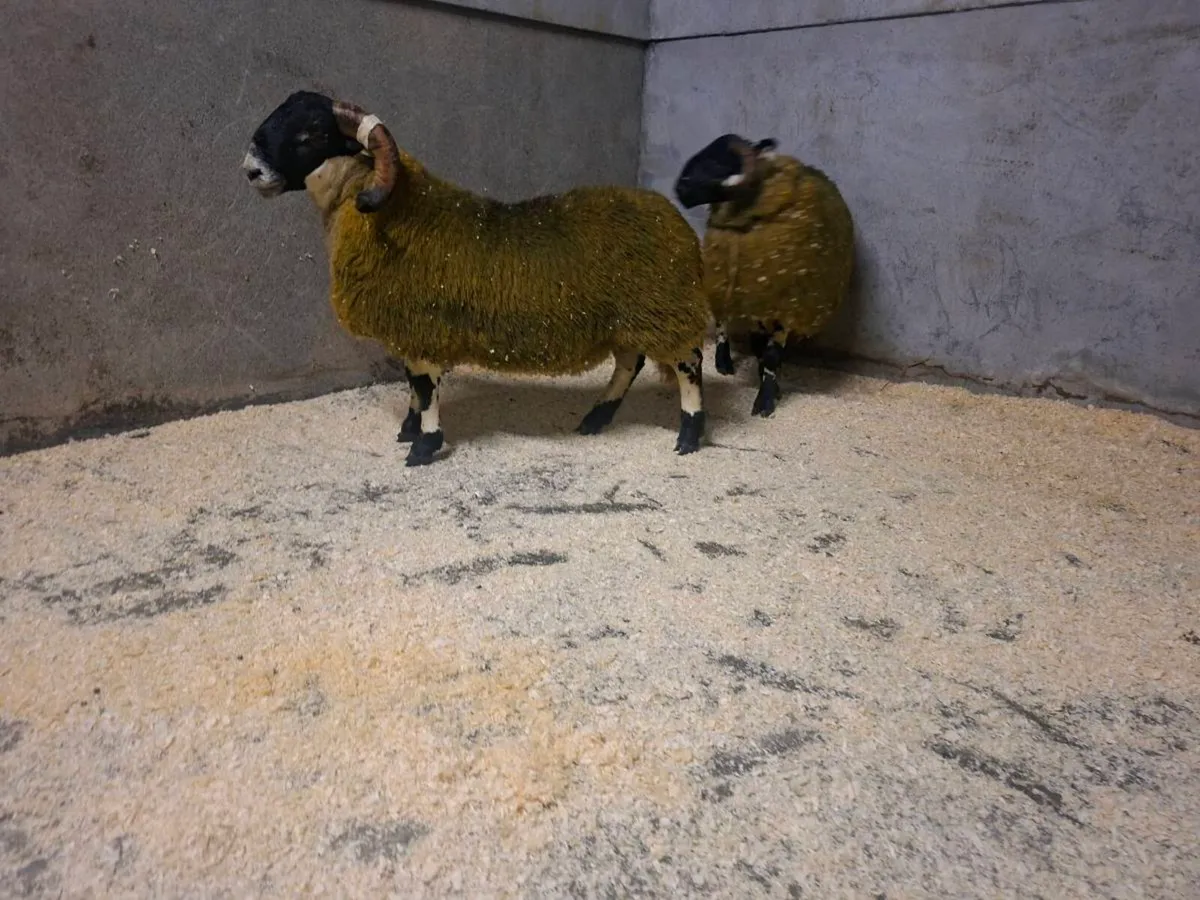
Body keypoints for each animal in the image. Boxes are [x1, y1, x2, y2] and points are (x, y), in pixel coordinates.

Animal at [241, 91, 709, 466]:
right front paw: (408, 429)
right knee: (630, 363)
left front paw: (424, 446)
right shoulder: (411, 331)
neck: (397, 213)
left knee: (688, 364)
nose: (250, 170)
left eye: (311, 133)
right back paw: (596, 418)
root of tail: (673, 218)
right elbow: (413, 384)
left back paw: (689, 434)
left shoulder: (423, 328)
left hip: (663, 310)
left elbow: (425, 386)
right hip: (629, 318)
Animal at [674, 134, 855, 417]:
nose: (681, 188)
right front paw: (766, 395)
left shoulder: (783, 305)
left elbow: (769, 355)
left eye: (719, 163)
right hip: (722, 278)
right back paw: (723, 361)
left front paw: (767, 395)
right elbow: (761, 349)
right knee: (723, 321)